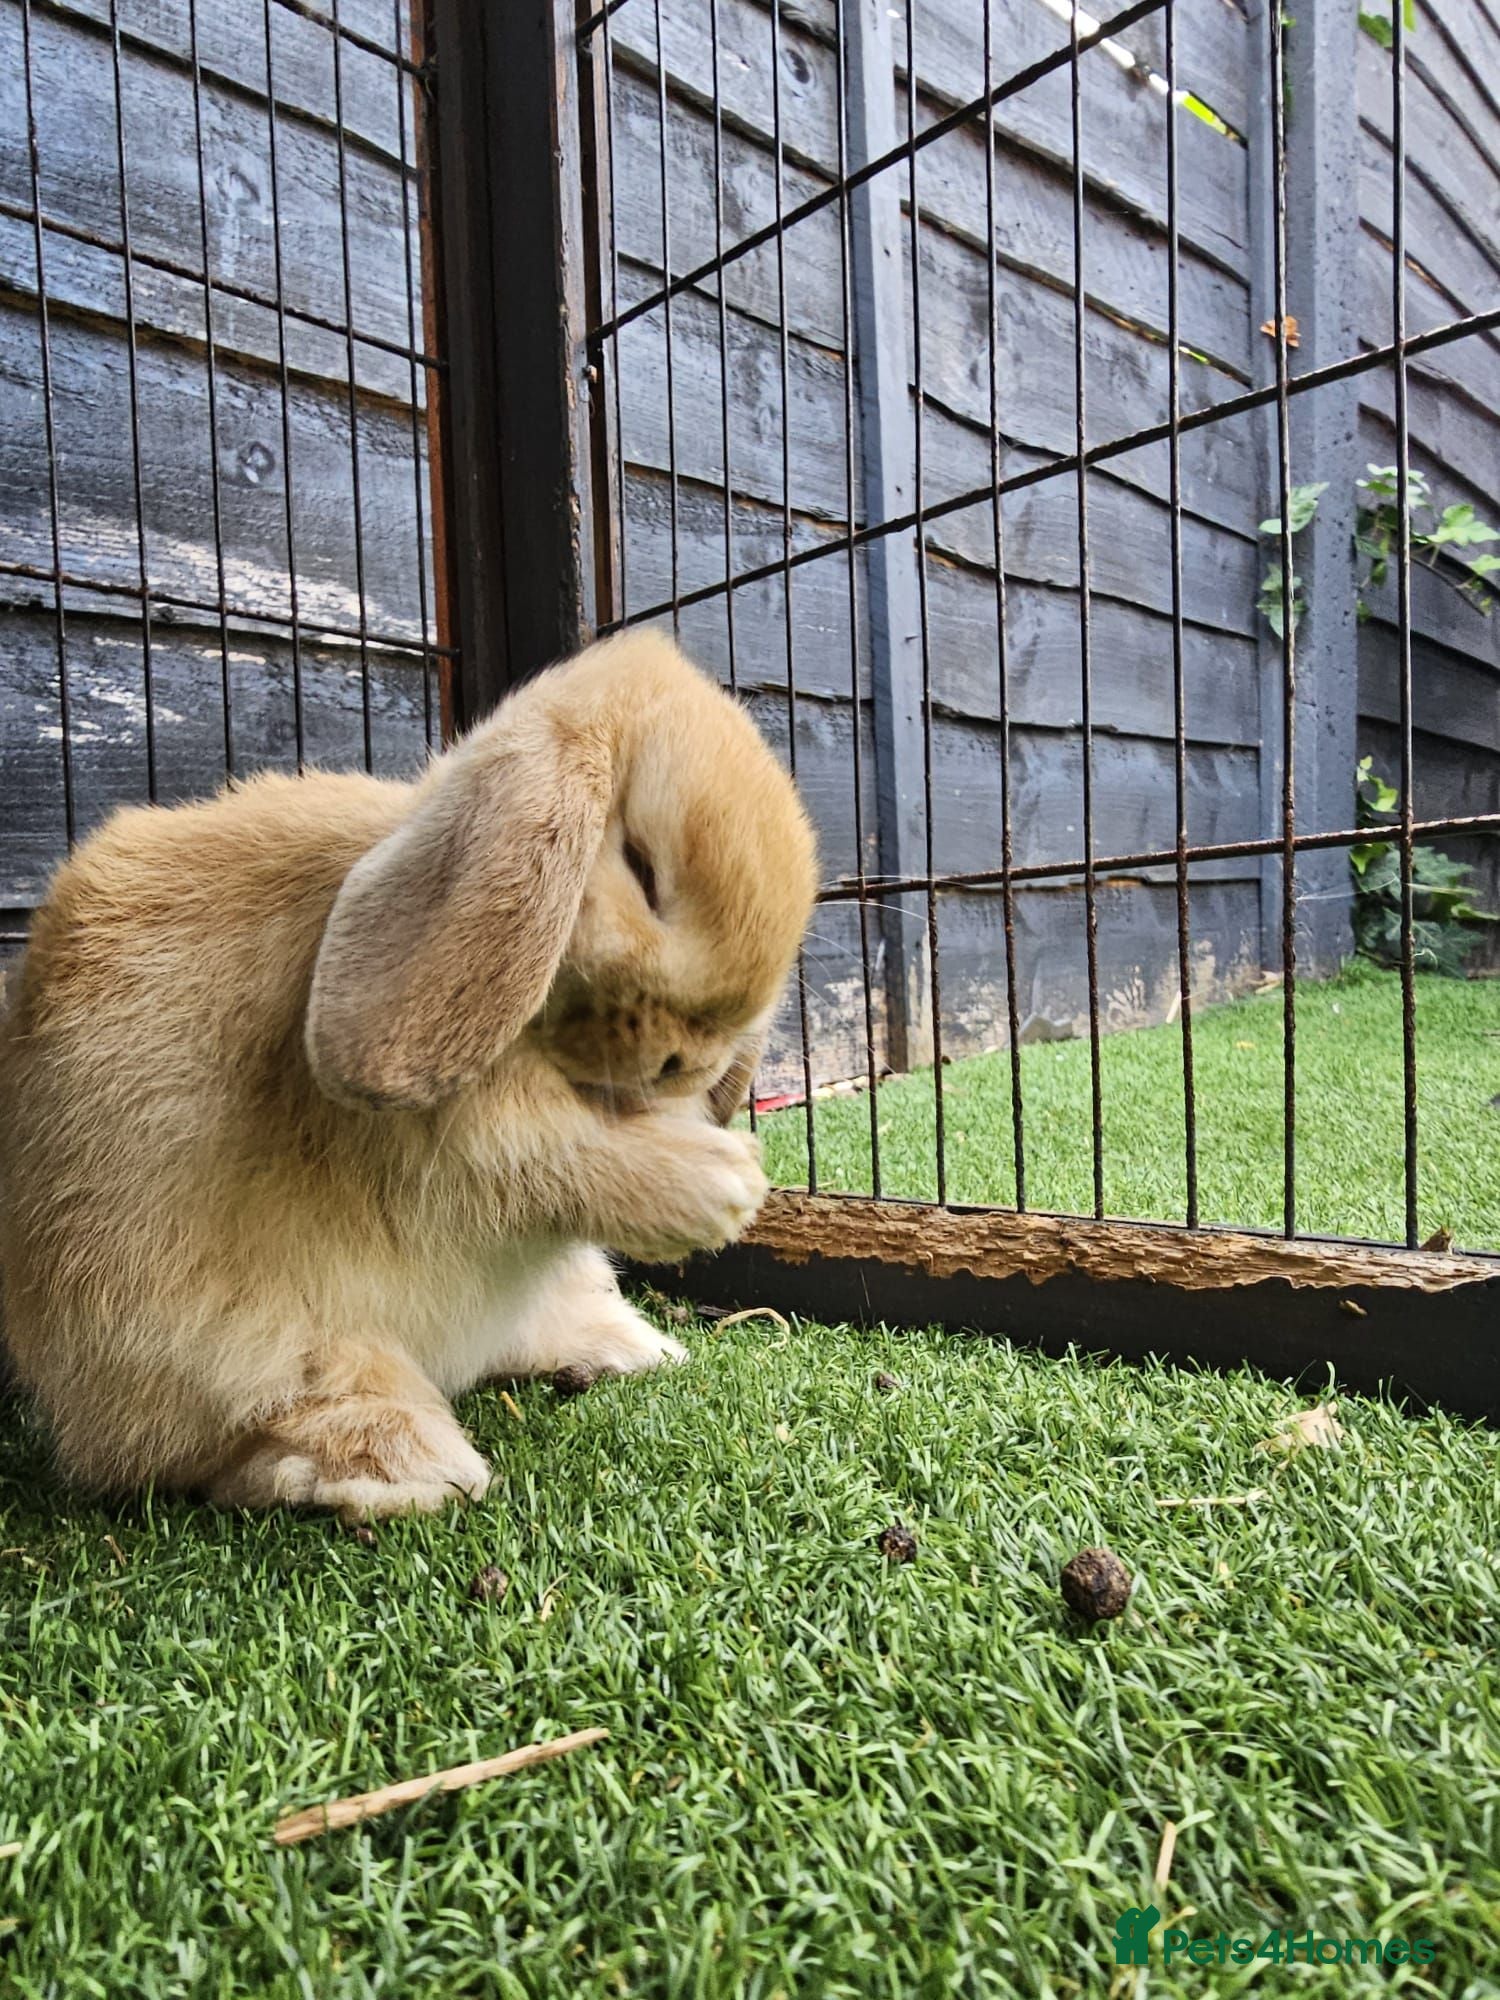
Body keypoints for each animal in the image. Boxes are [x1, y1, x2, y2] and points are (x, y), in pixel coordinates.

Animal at [0, 631, 817, 1521]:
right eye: (640, 866)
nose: (688, 1063)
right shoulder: (423, 1136)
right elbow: (537, 1156)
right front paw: (723, 1187)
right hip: (225, 1341)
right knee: (250, 1429)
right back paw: (406, 1465)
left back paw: (627, 1345)